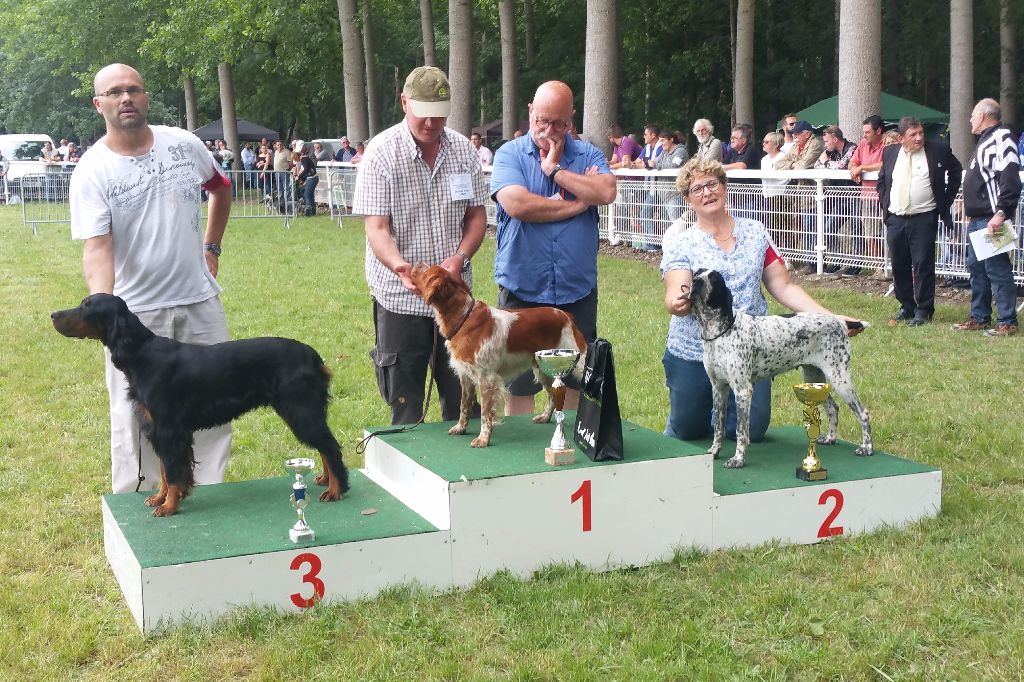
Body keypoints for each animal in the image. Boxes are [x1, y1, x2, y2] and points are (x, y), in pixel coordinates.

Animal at [50, 292, 348, 516]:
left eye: (87, 307)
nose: (53, 315)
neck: (141, 354)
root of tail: (314, 357)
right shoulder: (160, 430)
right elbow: (165, 469)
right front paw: (161, 498)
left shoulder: (169, 430)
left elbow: (172, 471)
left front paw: (169, 506)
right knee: (324, 446)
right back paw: (325, 480)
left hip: (299, 410)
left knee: (330, 446)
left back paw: (336, 490)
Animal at [405, 261, 585, 446]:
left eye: (427, 272)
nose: (417, 263)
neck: (464, 318)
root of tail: (566, 316)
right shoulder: (466, 376)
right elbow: (464, 406)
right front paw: (461, 428)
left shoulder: (486, 378)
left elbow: (485, 413)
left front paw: (483, 439)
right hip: (542, 369)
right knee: (552, 396)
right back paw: (545, 417)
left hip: (578, 364)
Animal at [688, 266, 872, 466]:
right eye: (697, 272)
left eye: (714, 278)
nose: (696, 281)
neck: (719, 332)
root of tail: (839, 322)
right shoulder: (718, 387)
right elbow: (718, 427)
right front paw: (714, 451)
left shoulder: (743, 390)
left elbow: (741, 431)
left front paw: (738, 459)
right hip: (815, 378)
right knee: (833, 408)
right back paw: (830, 438)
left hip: (839, 378)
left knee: (863, 413)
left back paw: (867, 448)